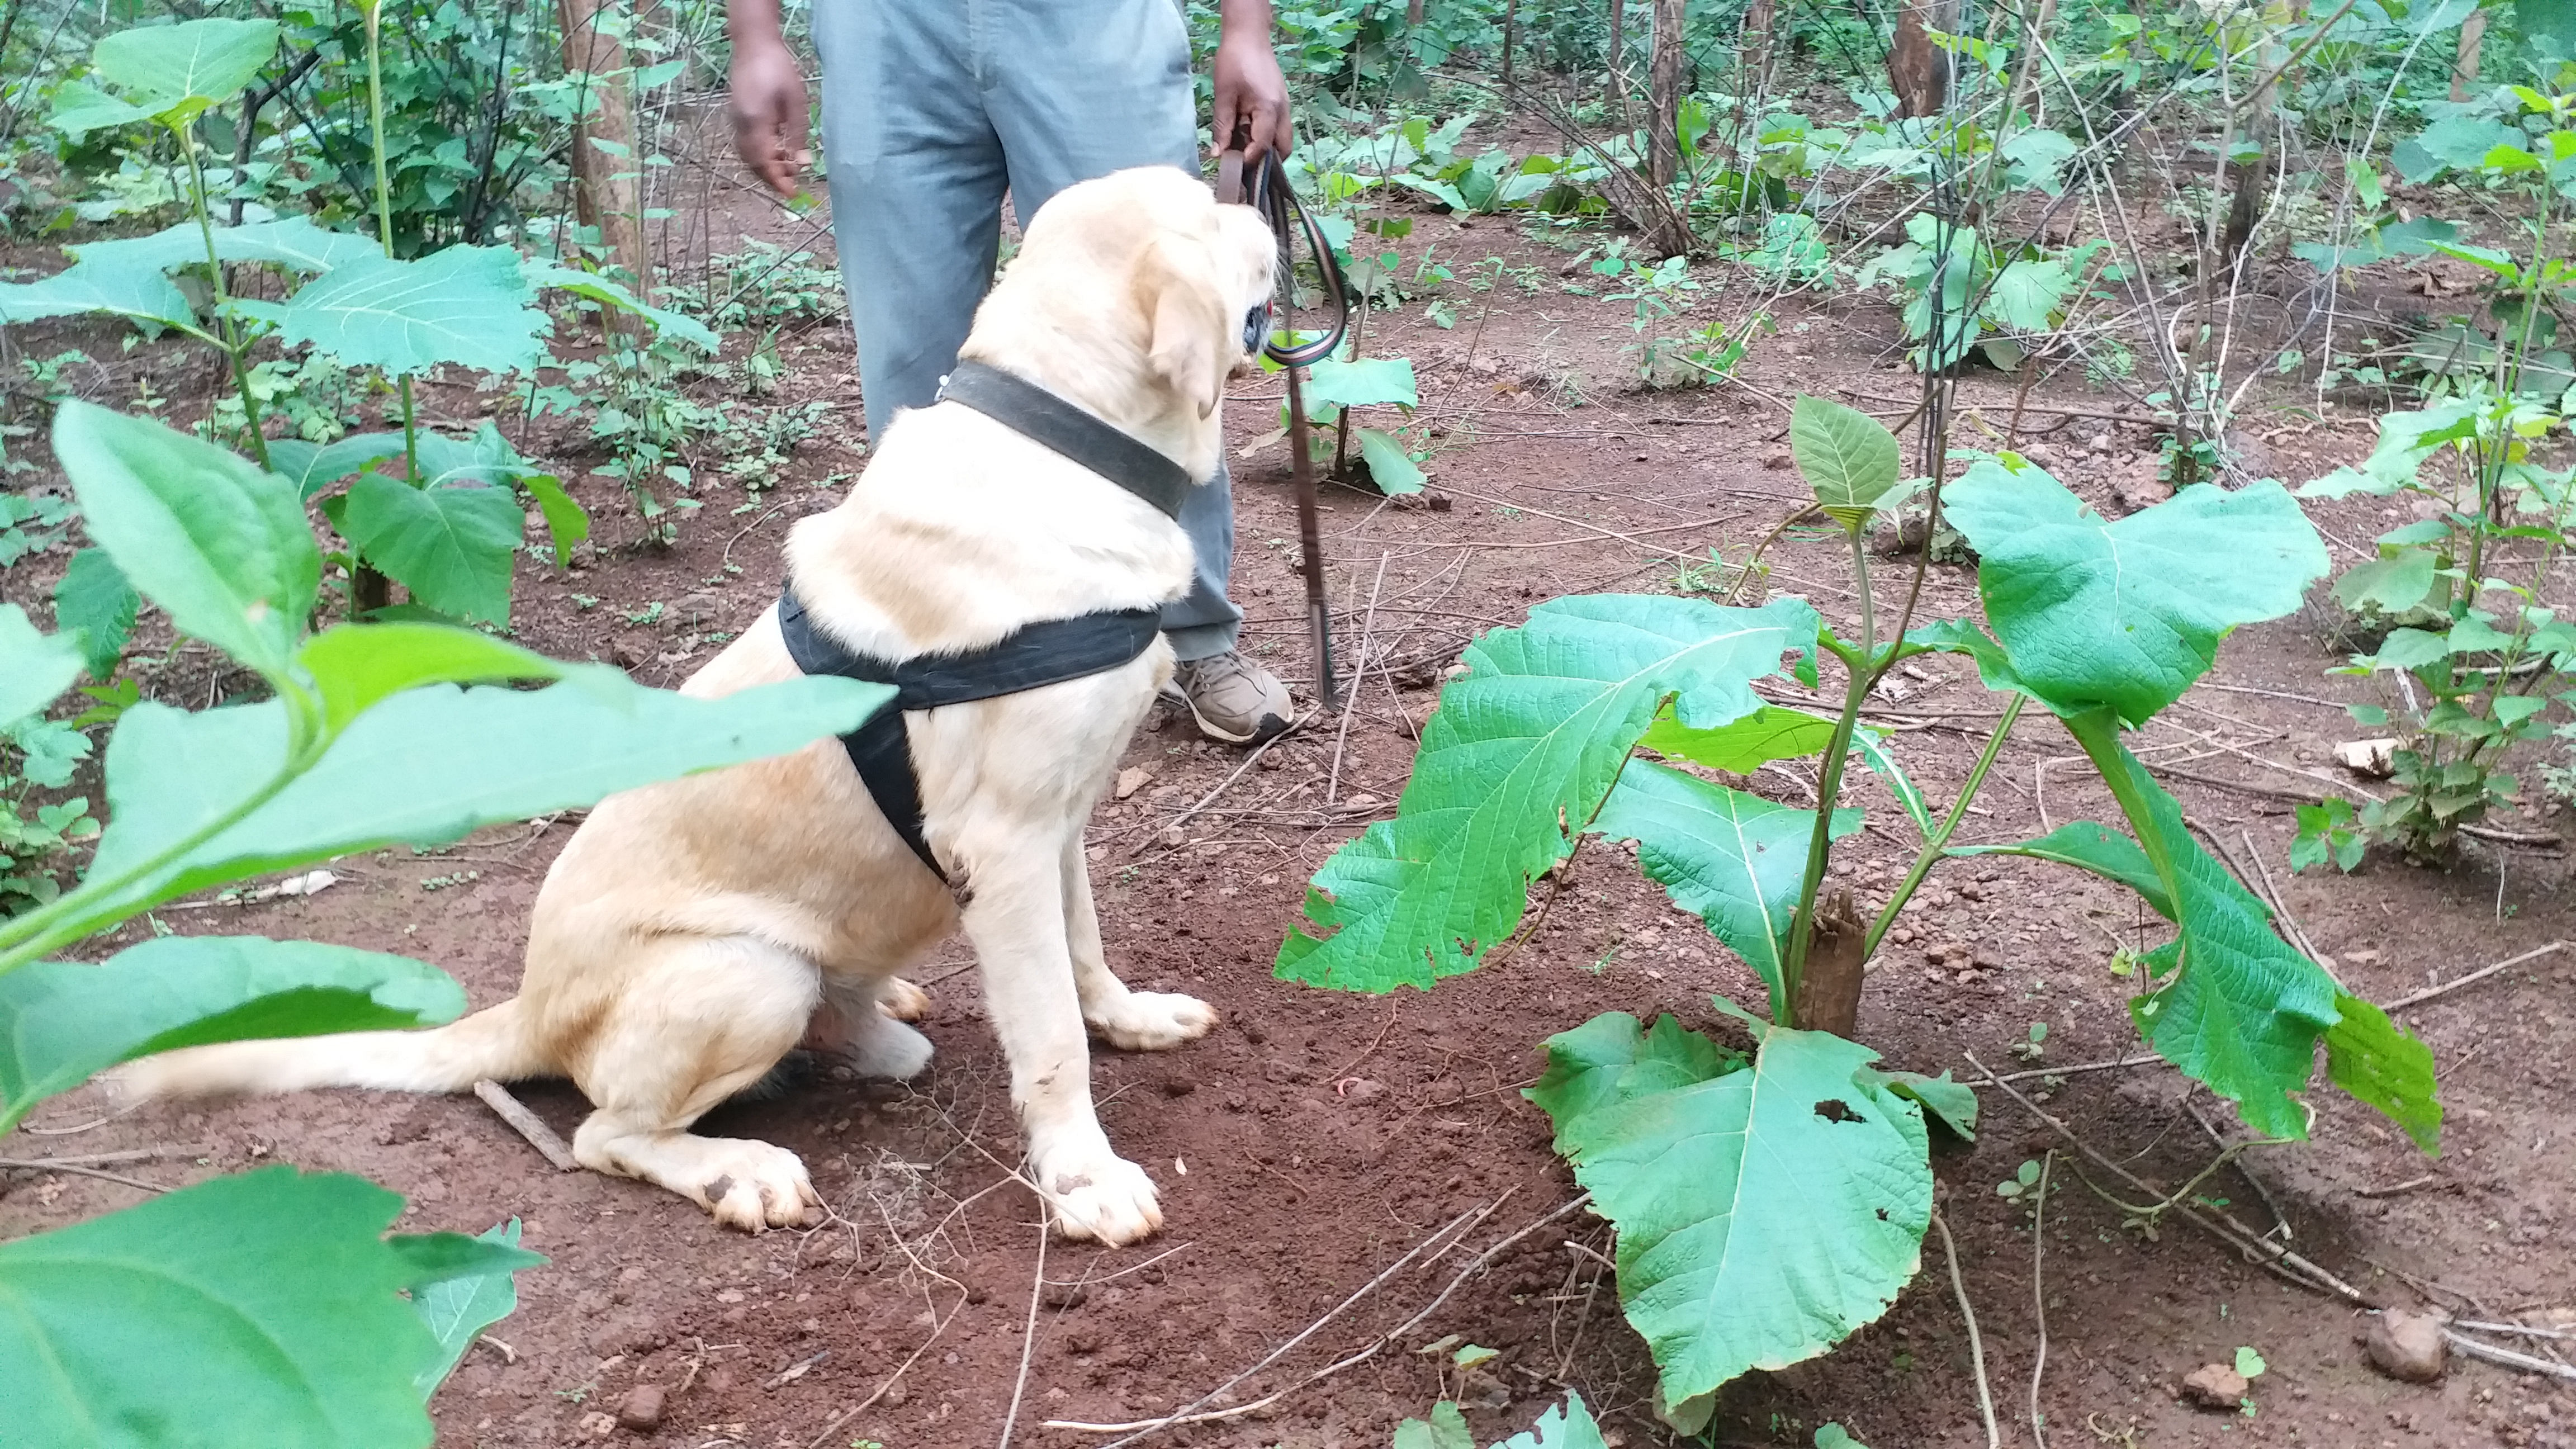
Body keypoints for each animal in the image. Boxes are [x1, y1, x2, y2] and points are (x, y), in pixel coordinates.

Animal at [111, 160, 1277, 1243]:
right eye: (1207, 210)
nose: (1263, 200)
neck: (1061, 441)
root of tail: (530, 1008)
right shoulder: (1004, 838)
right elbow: (1048, 1040)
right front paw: (1083, 1180)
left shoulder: (1057, 824)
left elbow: (1083, 956)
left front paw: (1130, 1019)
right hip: (746, 972)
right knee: (606, 1132)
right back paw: (736, 1169)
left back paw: (877, 1015)